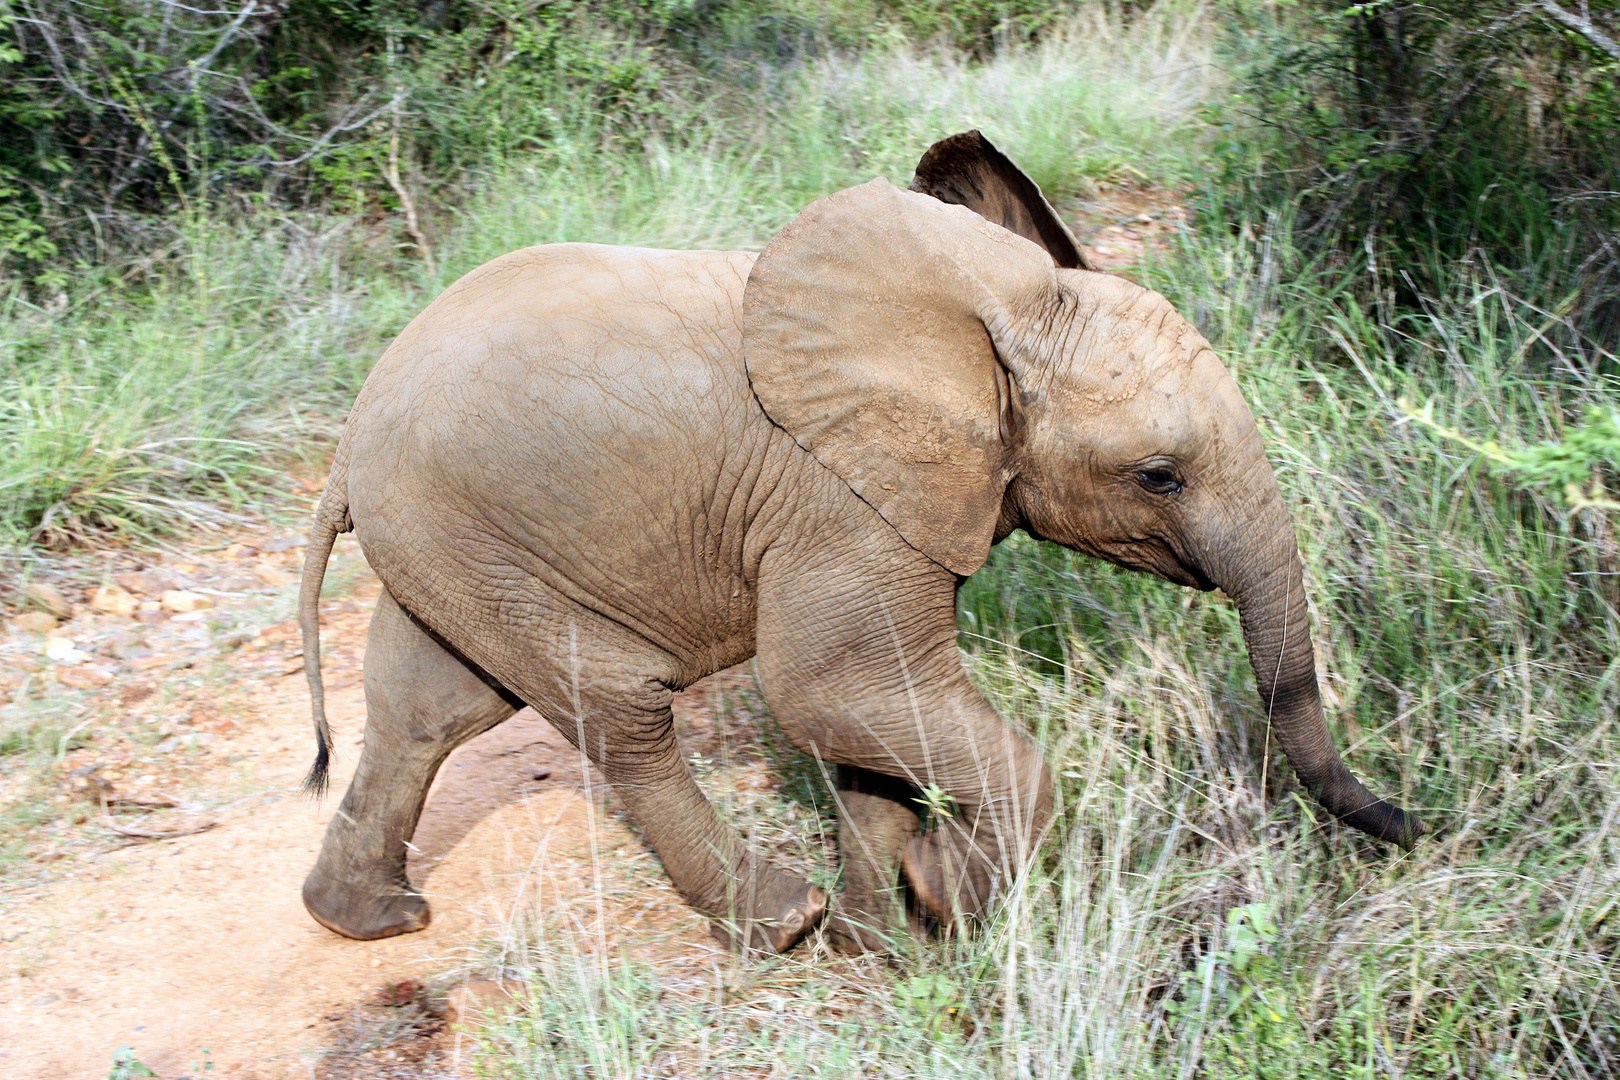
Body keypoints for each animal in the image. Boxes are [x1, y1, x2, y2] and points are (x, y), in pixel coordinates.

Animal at [301, 128, 1419, 952]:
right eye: (1160, 475)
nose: (1415, 823)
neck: (987, 314)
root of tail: (347, 442)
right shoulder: (838, 504)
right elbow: (830, 688)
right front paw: (940, 899)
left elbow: (870, 721)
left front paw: (885, 943)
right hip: (473, 533)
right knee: (618, 711)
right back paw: (781, 921)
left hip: (447, 541)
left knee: (431, 705)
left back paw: (368, 920)